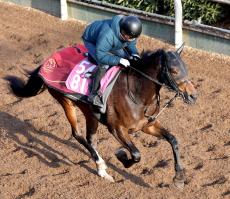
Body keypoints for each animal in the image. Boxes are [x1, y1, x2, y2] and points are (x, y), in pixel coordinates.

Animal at [5, 44, 196, 188]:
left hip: (90, 113)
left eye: (186, 68)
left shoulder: (147, 125)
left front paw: (179, 178)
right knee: (77, 134)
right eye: (174, 70)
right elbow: (135, 154)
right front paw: (121, 156)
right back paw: (102, 166)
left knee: (90, 138)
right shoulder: (117, 128)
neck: (136, 91)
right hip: (66, 102)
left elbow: (173, 139)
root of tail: (47, 62)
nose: (193, 96)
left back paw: (101, 169)